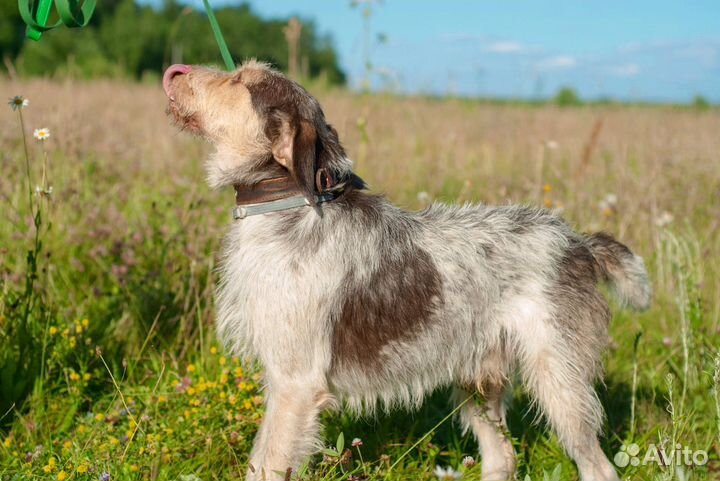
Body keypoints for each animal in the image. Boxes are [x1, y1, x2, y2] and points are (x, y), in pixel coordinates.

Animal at [163, 61, 652, 480]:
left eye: (240, 80)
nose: (173, 71)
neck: (288, 203)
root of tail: (578, 244)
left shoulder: (295, 384)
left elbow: (266, 463)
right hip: (479, 382)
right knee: (503, 458)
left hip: (560, 384)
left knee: (598, 466)